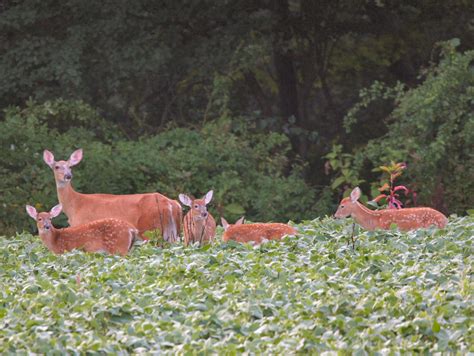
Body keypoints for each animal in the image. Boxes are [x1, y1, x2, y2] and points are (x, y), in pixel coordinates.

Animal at [42, 147, 183, 242]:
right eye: (57, 167)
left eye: (70, 167)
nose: (68, 176)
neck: (75, 206)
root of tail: (170, 204)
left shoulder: (83, 227)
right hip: (174, 231)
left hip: (150, 229)